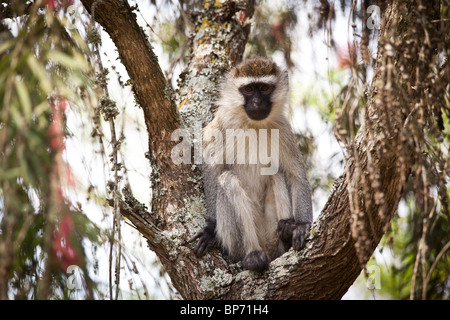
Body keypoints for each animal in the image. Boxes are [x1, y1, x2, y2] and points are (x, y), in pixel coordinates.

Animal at [191, 58, 312, 272]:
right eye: (247, 90)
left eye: (264, 88)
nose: (256, 103)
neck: (254, 125)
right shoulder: (223, 123)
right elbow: (211, 166)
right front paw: (210, 229)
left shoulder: (283, 129)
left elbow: (296, 175)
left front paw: (302, 225)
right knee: (227, 180)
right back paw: (252, 256)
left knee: (277, 172)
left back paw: (286, 230)